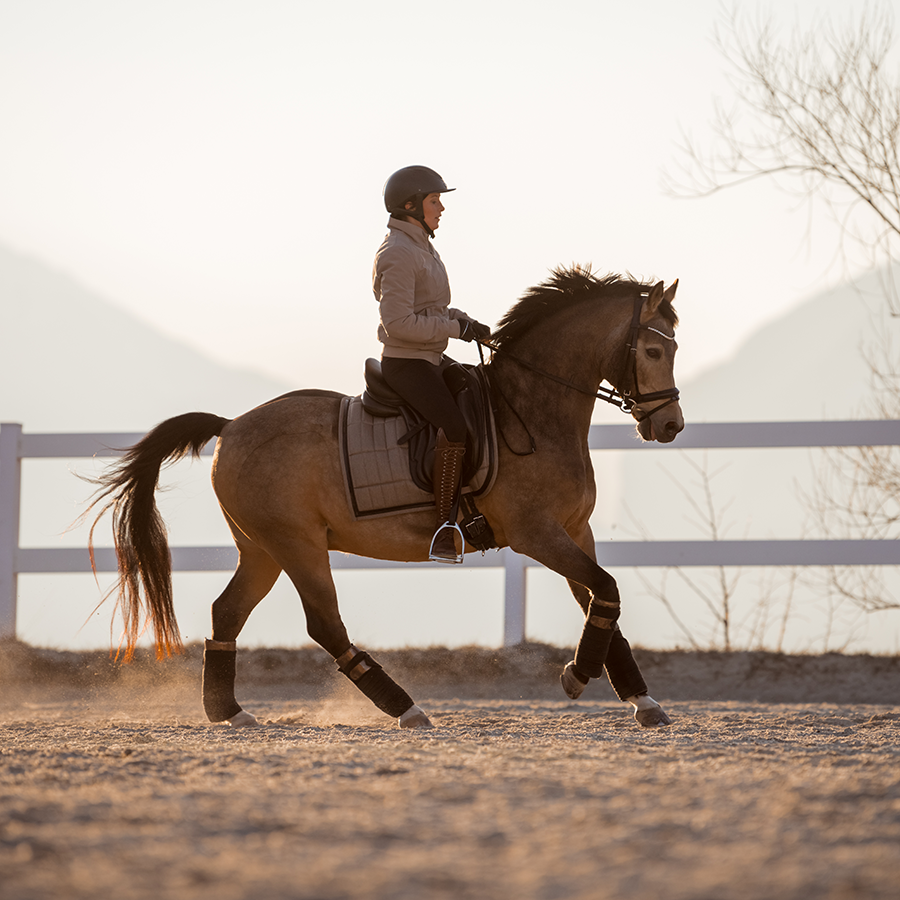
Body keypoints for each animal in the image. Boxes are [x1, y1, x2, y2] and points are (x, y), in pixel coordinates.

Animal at [86, 268, 684, 732]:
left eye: (674, 347)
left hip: (261, 548)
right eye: (655, 349)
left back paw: (228, 711)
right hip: (296, 544)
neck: (533, 410)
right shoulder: (537, 534)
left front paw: (642, 701)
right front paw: (577, 676)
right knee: (324, 625)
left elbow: (602, 602)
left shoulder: (574, 529)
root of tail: (231, 426)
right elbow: (606, 590)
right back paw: (407, 709)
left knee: (227, 611)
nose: (671, 426)